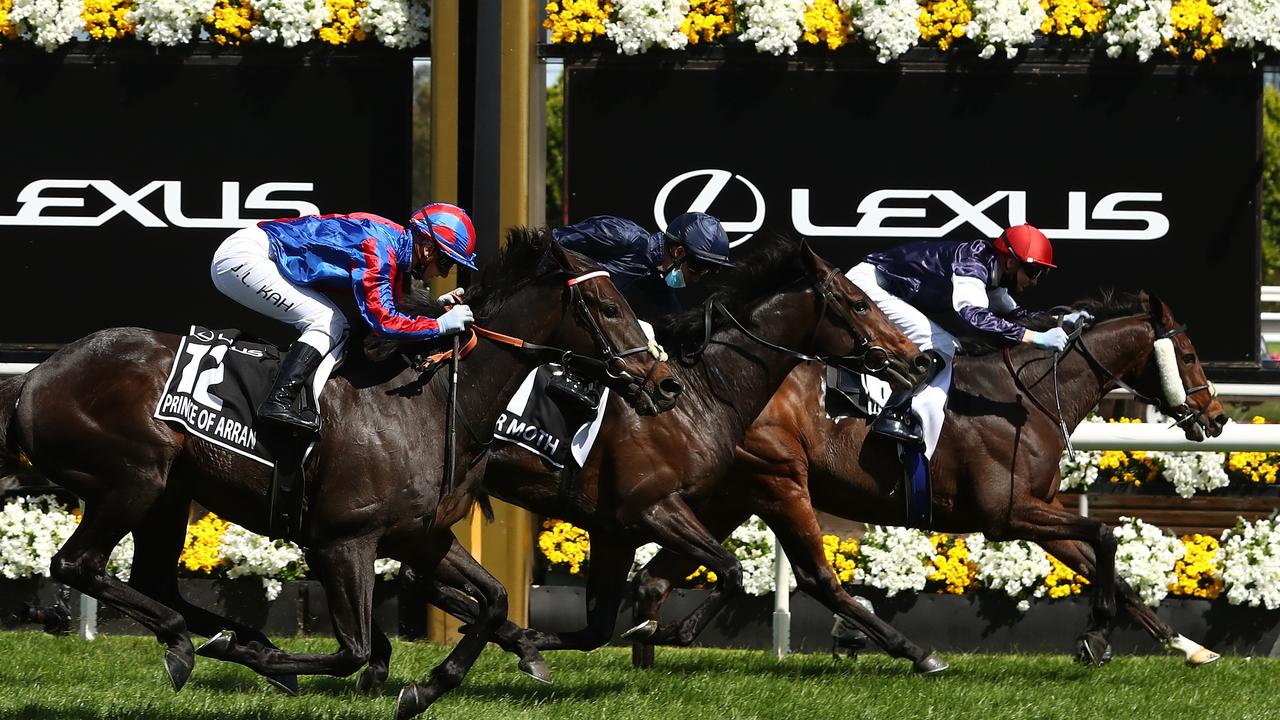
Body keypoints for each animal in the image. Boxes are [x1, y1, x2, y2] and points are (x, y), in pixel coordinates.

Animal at [0, 228, 686, 712]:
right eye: (608, 306)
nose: (667, 384)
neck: (432, 401)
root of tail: (35, 376)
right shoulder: (342, 541)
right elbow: (353, 649)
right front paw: (292, 665)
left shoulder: (421, 536)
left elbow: (492, 601)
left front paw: (430, 686)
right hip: (131, 481)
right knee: (77, 565)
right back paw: (193, 643)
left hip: (168, 492)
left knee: (153, 579)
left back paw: (228, 639)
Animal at [394, 233, 957, 681]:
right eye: (860, 304)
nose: (918, 360)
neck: (702, 393)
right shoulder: (652, 507)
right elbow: (731, 571)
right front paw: (659, 632)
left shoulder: (615, 529)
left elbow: (598, 628)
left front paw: (539, 644)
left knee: (418, 575)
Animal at [637, 288, 1228, 666]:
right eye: (1189, 355)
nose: (1218, 418)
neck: (1031, 399)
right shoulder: (1006, 514)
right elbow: (1105, 536)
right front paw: (1097, 638)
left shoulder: (1039, 512)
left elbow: (1111, 569)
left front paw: (1188, 647)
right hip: (778, 482)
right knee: (816, 578)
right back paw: (916, 653)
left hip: (732, 495)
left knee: (661, 573)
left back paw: (649, 644)